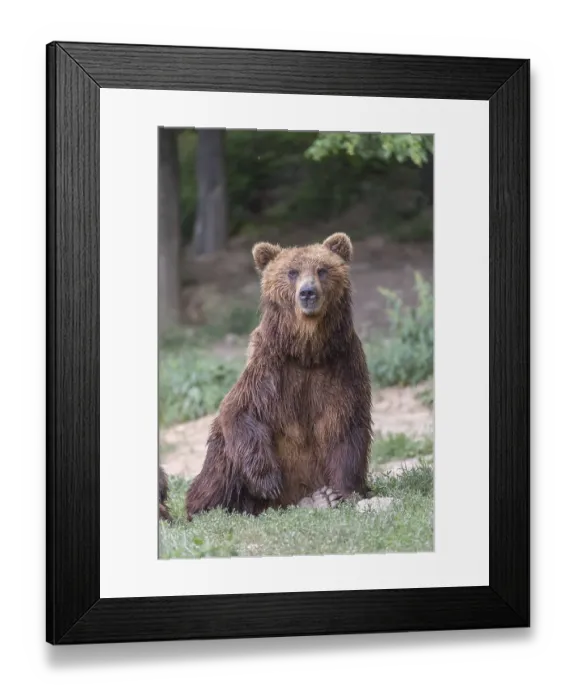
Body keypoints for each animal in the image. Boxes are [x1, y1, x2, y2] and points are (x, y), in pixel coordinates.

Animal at [185, 232, 373, 519]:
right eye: (292, 272)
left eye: (322, 269)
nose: (308, 293)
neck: (308, 351)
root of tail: (286, 504)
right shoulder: (270, 368)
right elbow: (240, 410)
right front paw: (269, 482)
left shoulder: (342, 366)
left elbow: (346, 426)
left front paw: (344, 491)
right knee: (221, 462)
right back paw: (207, 509)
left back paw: (321, 498)